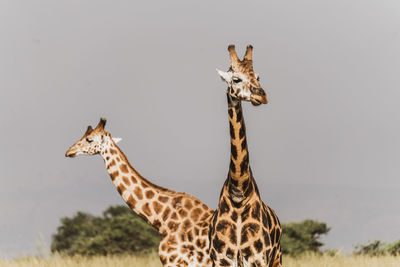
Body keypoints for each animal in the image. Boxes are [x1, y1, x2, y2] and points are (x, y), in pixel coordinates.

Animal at [209, 45, 282, 266]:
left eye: (258, 76)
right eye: (236, 79)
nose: (262, 96)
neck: (238, 192)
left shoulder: (258, 258)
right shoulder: (221, 259)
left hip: (277, 258)